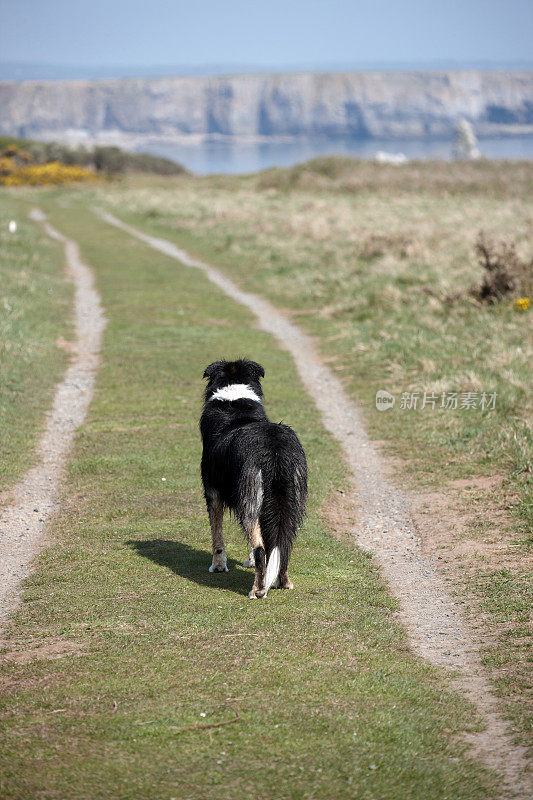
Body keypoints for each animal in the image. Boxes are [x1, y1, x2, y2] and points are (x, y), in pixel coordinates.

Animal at [200, 360, 308, 596]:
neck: (234, 401)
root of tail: (274, 448)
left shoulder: (213, 493)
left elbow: (217, 537)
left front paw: (218, 566)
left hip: (249, 498)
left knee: (259, 547)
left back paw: (258, 590)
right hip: (292, 499)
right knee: (284, 542)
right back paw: (282, 582)